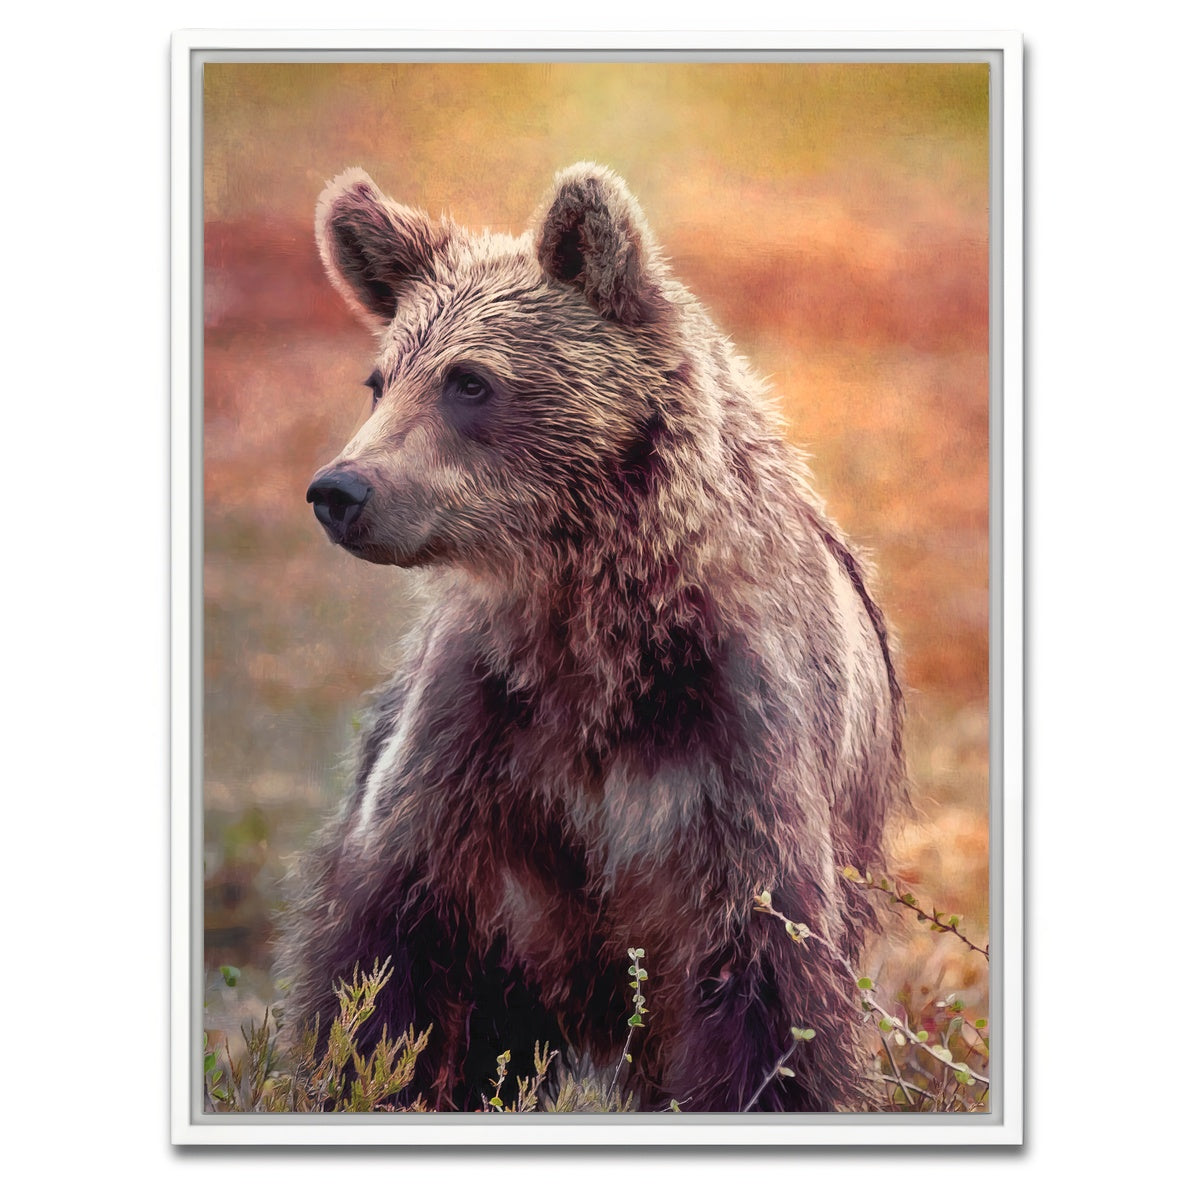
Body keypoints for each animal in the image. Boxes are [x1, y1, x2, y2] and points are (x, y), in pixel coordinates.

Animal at [277, 162, 906, 1112]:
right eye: (380, 380)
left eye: (470, 381)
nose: (341, 490)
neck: (594, 629)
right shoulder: (478, 738)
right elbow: (388, 964)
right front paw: (368, 1073)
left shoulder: (733, 747)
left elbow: (767, 996)